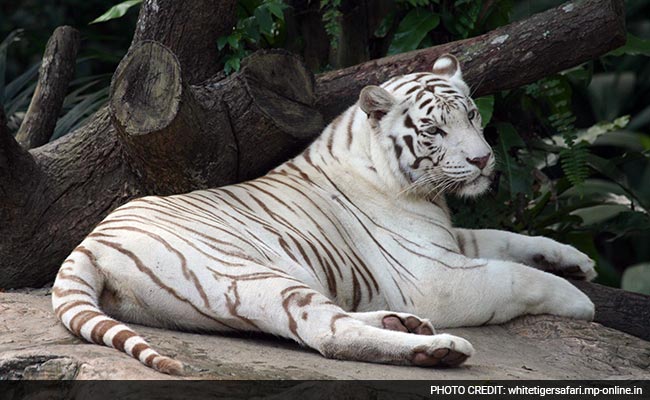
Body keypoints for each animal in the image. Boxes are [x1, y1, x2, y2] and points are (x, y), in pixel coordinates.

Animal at [53, 54, 596, 376]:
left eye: (472, 115)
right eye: (434, 132)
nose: (483, 160)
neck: (422, 193)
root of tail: (87, 243)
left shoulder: (449, 239)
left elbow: (508, 240)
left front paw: (577, 261)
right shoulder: (432, 276)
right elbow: (515, 277)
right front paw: (579, 301)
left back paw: (405, 324)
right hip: (248, 275)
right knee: (327, 333)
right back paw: (436, 349)